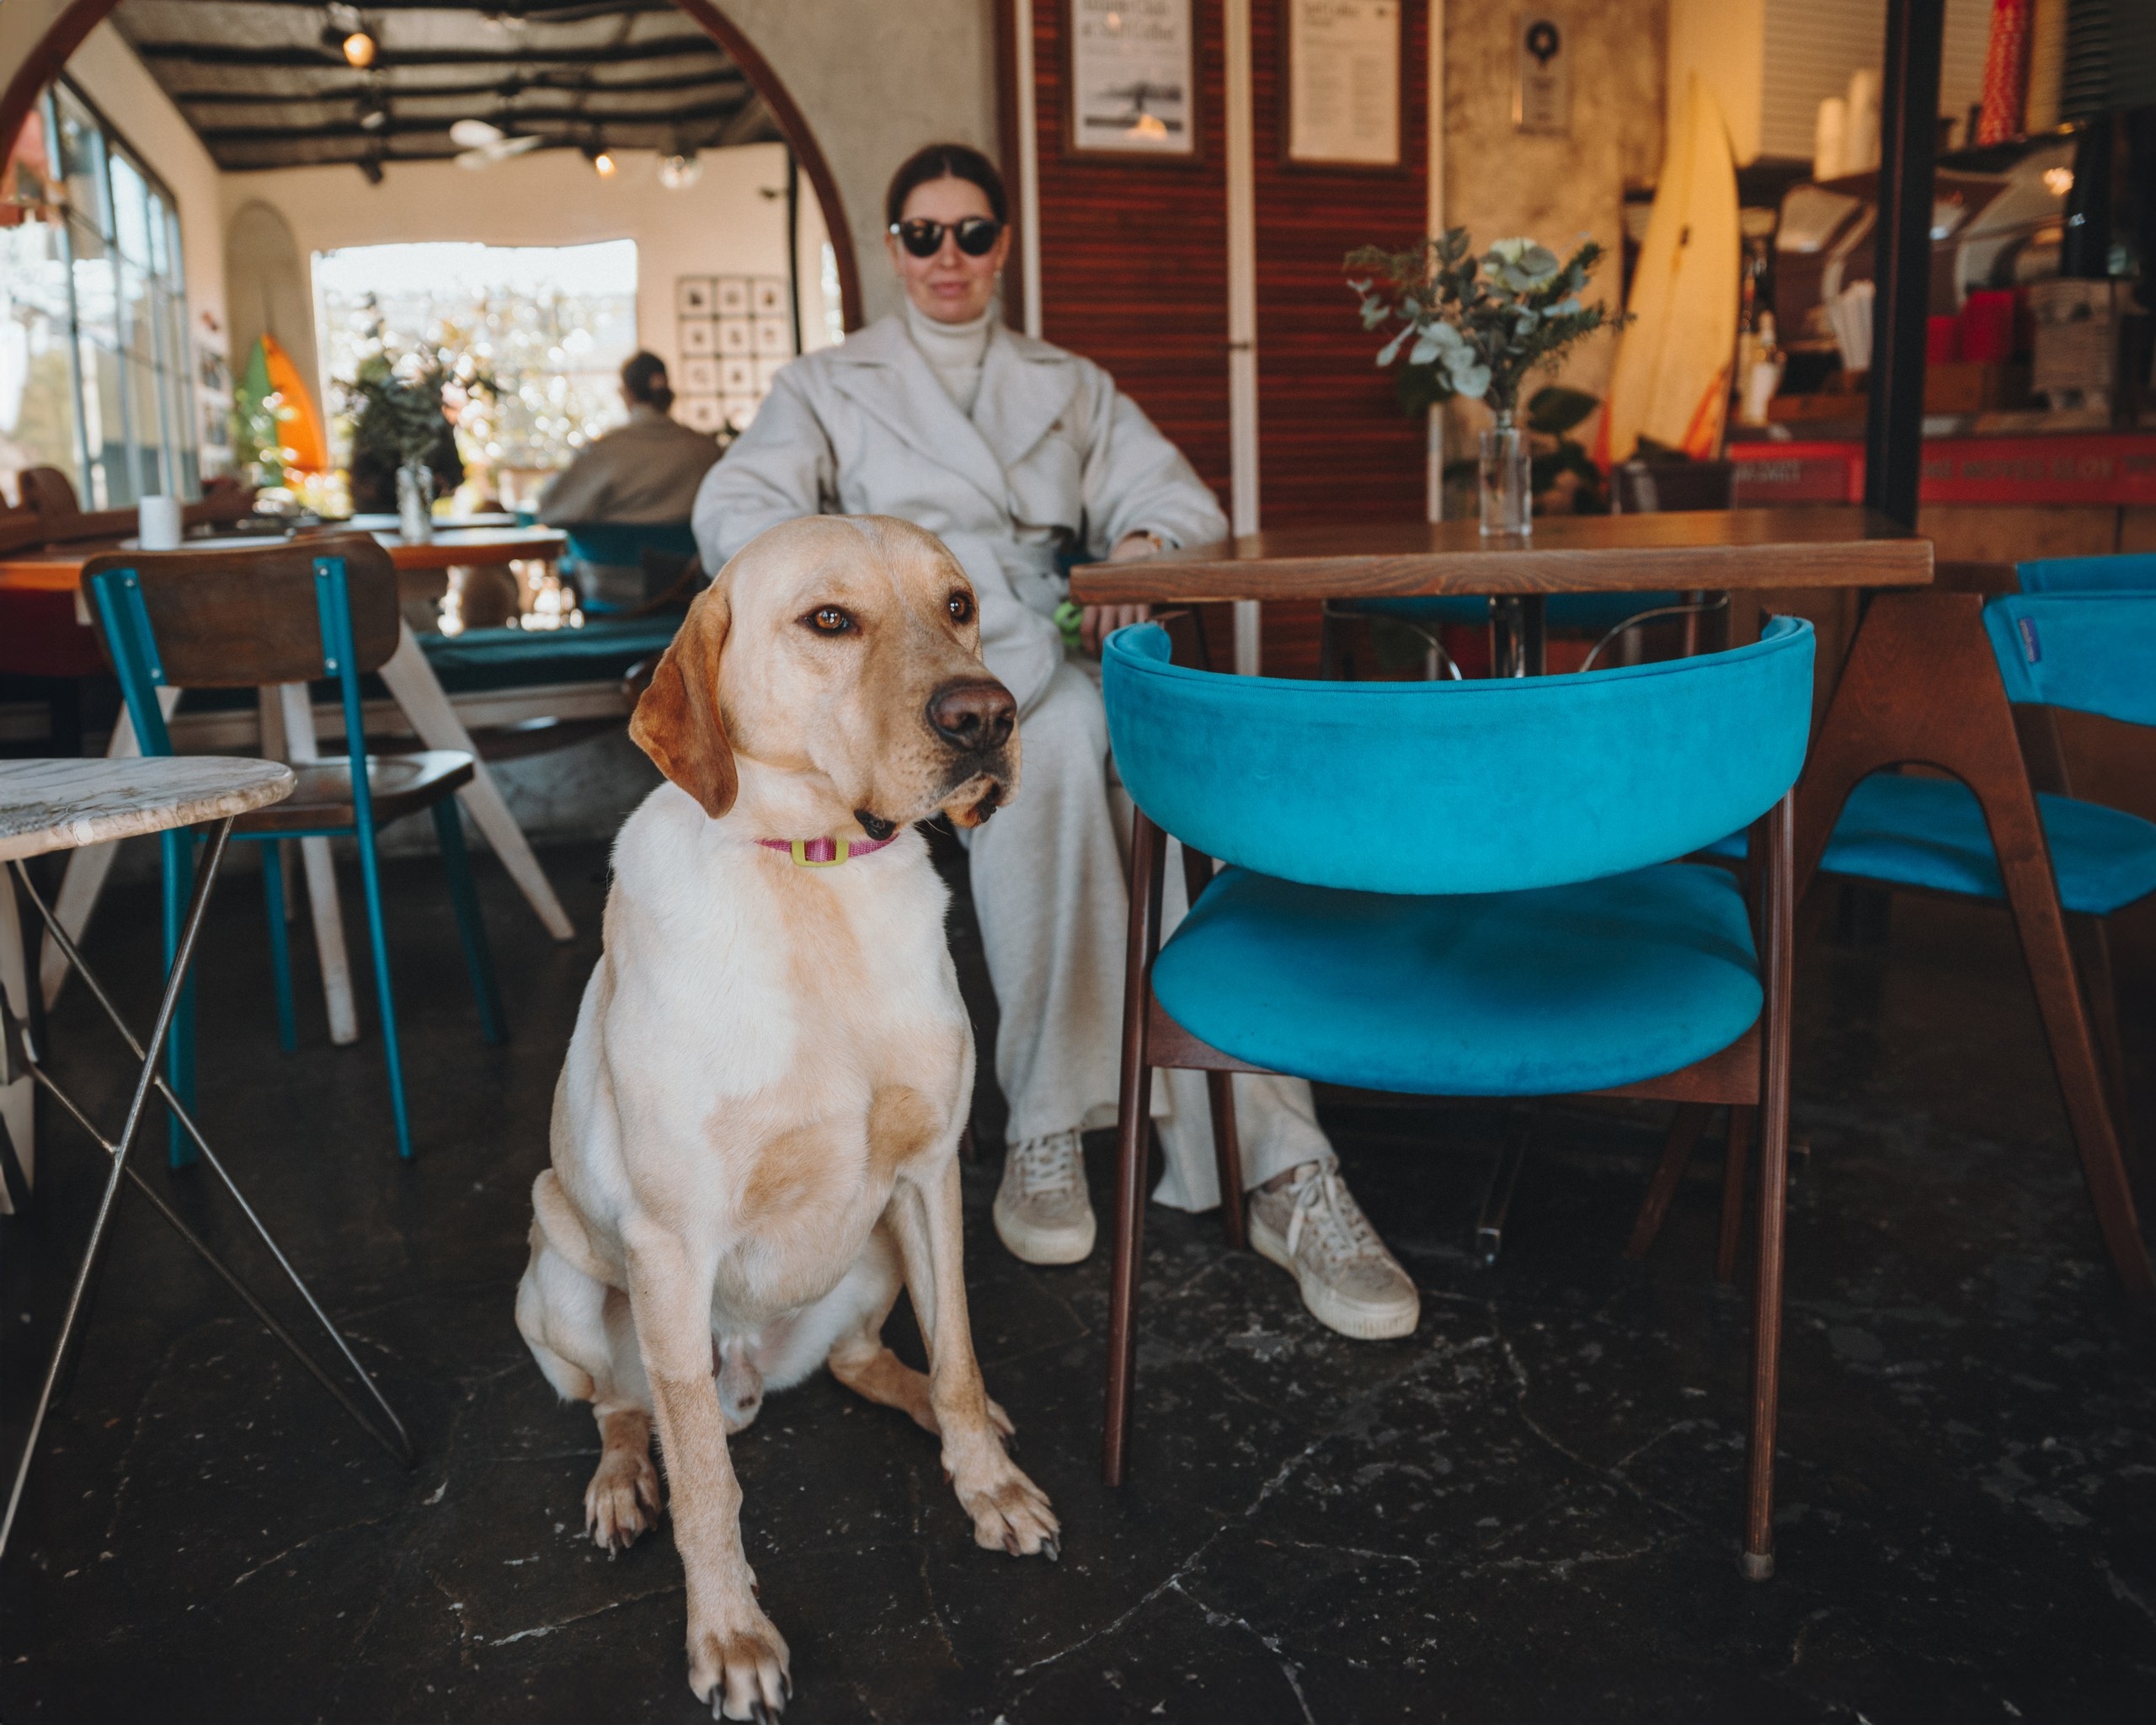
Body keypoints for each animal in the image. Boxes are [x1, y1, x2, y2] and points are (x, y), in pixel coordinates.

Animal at [515, 514, 1058, 1719]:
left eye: (958, 604)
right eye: (829, 620)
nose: (986, 716)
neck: (817, 874)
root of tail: (746, 1368)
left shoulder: (930, 1174)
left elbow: (959, 1355)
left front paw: (987, 1483)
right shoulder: (671, 1246)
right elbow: (707, 1485)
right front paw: (729, 1632)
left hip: (874, 1255)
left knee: (870, 1359)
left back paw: (951, 1414)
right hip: (563, 1283)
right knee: (625, 1407)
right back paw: (623, 1480)